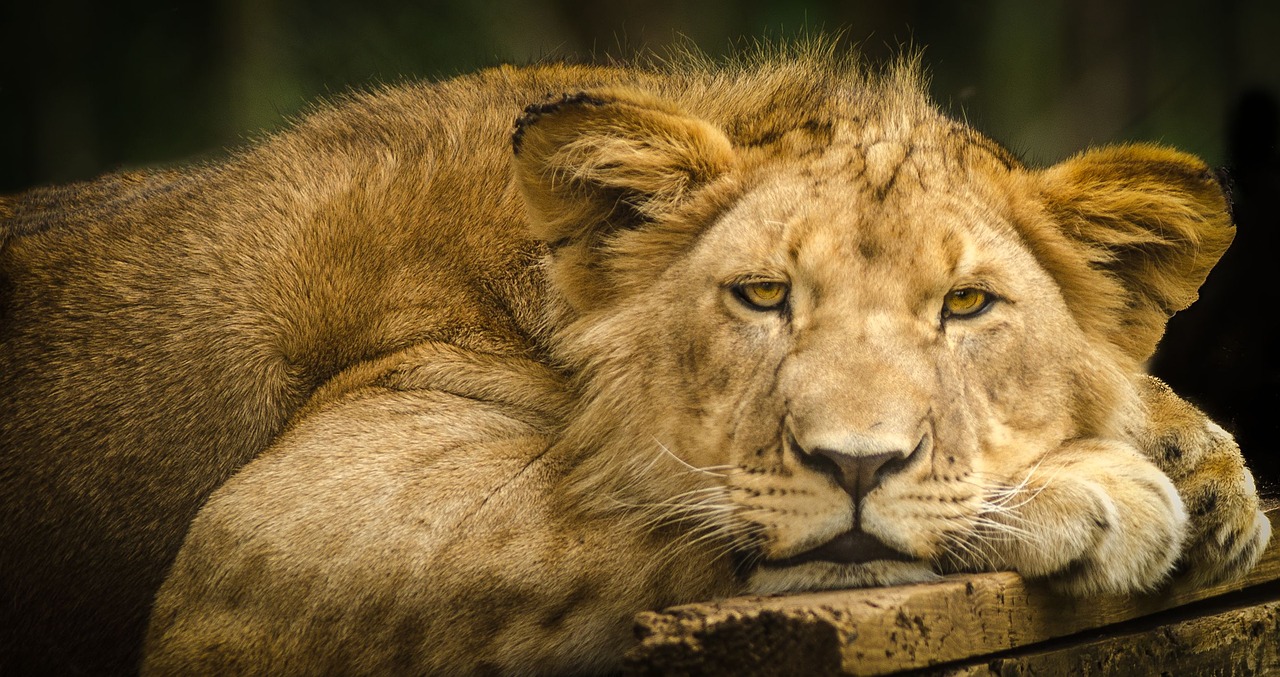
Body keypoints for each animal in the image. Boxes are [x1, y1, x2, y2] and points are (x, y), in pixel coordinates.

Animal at [0, 46, 1264, 670]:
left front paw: (1200, 463)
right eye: (761, 296)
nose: (857, 462)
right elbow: (651, 502)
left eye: (963, 304)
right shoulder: (261, 538)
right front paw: (1102, 488)